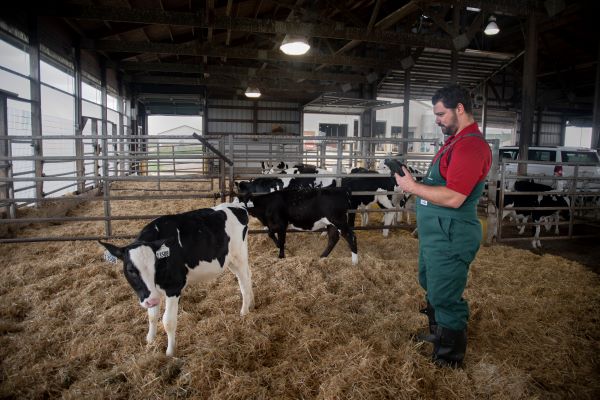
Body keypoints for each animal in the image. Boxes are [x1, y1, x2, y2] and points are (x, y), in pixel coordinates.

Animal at [99, 203, 254, 356]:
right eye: (131, 270)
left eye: (155, 265)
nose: (152, 301)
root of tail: (238, 206)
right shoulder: (154, 293)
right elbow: (152, 316)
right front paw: (150, 340)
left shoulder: (174, 288)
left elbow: (168, 321)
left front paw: (170, 352)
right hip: (231, 261)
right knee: (249, 274)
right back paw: (251, 303)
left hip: (239, 257)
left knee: (244, 282)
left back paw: (244, 311)